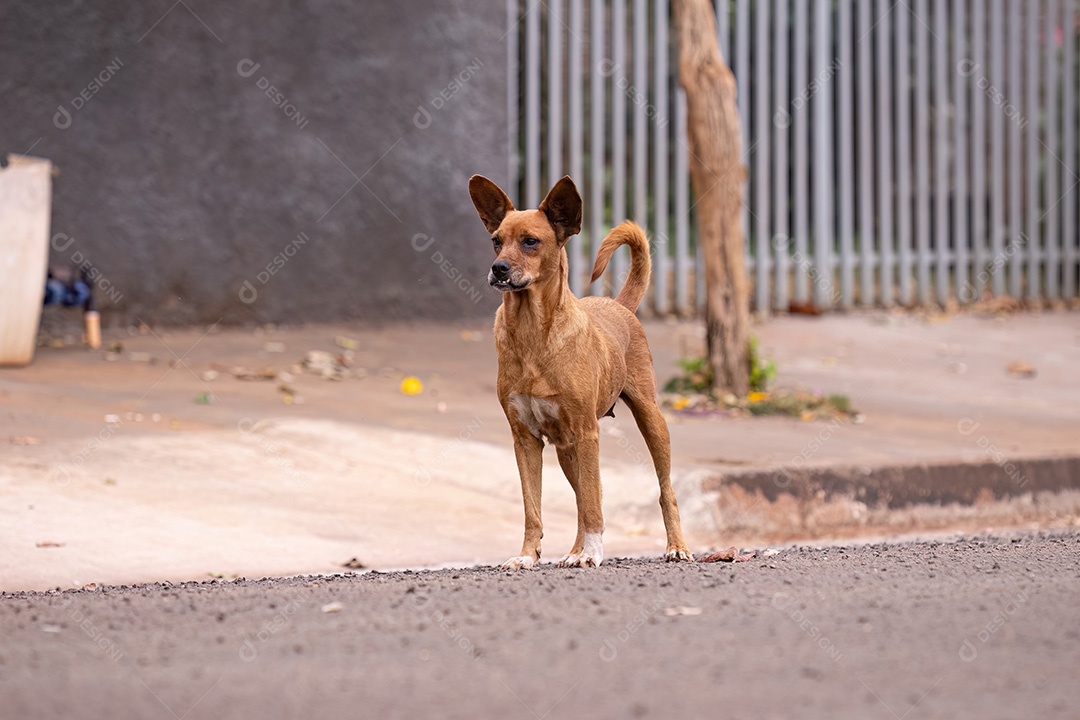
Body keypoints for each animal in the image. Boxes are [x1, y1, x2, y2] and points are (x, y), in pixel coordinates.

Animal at [470, 172, 691, 569]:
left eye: (530, 242)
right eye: (496, 241)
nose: (498, 269)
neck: (532, 332)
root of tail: (620, 305)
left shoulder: (588, 433)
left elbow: (591, 504)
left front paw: (592, 553)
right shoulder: (525, 439)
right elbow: (533, 509)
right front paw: (527, 555)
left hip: (650, 421)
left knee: (662, 490)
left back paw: (676, 546)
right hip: (566, 448)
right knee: (582, 498)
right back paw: (574, 550)